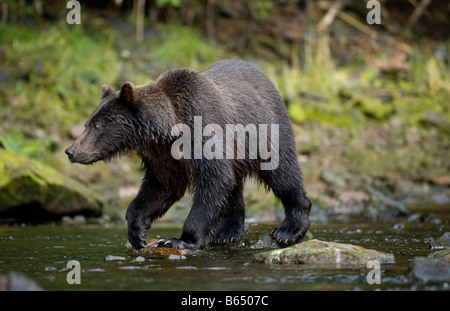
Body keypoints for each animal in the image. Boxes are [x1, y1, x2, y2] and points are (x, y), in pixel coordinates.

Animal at [67, 59, 312, 251]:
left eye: (99, 125)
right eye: (88, 122)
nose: (71, 151)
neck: (169, 131)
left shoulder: (203, 132)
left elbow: (213, 181)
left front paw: (180, 239)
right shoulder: (162, 156)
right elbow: (162, 186)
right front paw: (137, 231)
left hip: (266, 131)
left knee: (283, 174)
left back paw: (288, 229)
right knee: (234, 186)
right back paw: (227, 232)